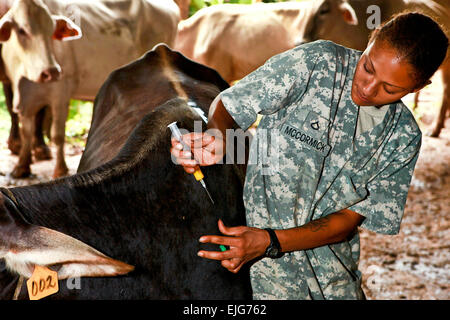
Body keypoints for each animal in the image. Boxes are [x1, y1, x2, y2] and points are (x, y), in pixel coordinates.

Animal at [0, 0, 179, 178]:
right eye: (22, 31)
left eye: (51, 31)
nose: (51, 71)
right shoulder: (24, 99)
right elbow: (26, 131)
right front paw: (21, 166)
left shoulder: (60, 94)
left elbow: (57, 134)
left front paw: (60, 169)